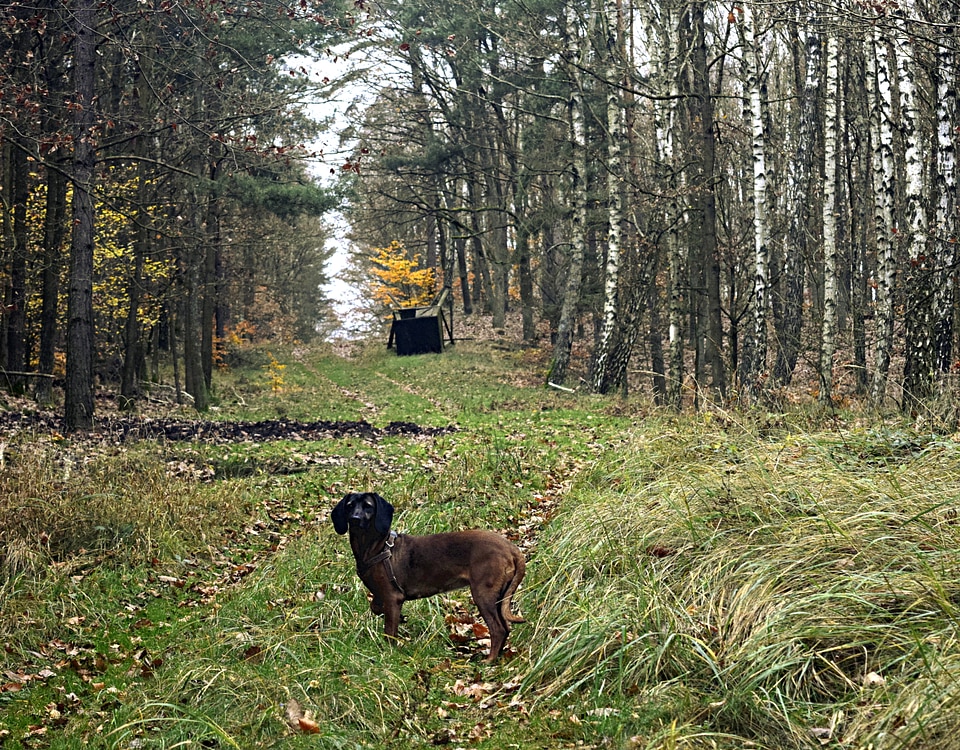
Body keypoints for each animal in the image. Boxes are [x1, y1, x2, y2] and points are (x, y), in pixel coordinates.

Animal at [330, 494, 524, 664]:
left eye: (368, 506)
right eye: (349, 506)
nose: (355, 518)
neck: (377, 548)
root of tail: (511, 548)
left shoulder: (393, 598)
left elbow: (389, 631)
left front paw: (389, 653)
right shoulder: (382, 595)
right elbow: (376, 607)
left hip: (483, 595)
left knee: (498, 629)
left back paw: (489, 660)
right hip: (498, 597)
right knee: (505, 628)